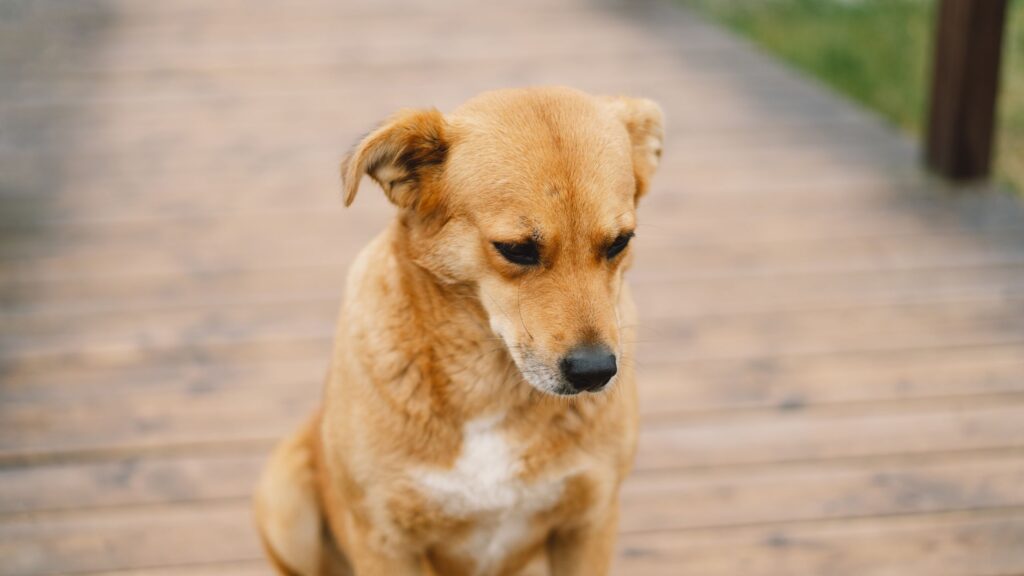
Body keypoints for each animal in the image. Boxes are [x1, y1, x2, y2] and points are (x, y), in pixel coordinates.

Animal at [256, 86, 663, 573]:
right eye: (516, 250)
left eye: (620, 242)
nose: (595, 372)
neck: (491, 384)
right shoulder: (385, 539)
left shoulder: (589, 520)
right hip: (284, 497)